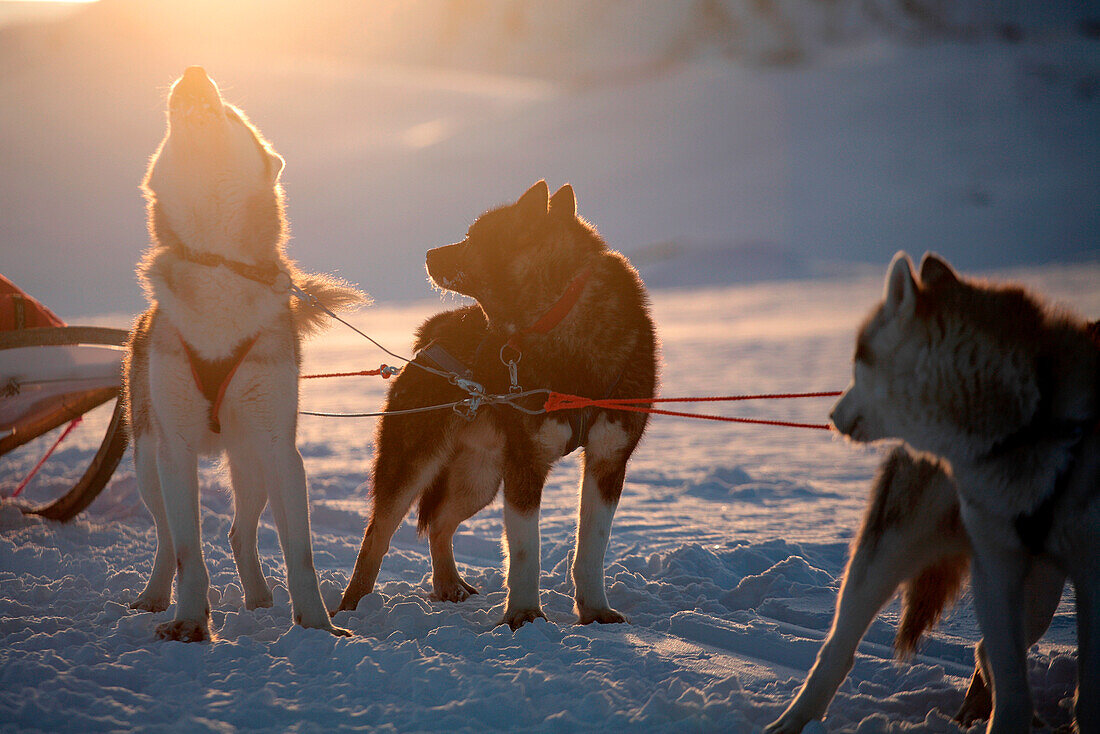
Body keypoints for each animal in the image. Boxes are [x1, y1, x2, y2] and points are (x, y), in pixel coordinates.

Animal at [124, 68, 365, 642]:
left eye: (234, 113)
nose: (193, 71)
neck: (216, 262)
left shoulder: (281, 450)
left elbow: (300, 554)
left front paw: (318, 627)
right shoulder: (175, 448)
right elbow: (188, 552)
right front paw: (190, 622)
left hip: (251, 460)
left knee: (240, 531)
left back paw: (257, 597)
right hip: (149, 462)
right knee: (165, 538)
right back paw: (155, 597)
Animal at [338, 180, 655, 629]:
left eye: (473, 238)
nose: (428, 254)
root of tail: (431, 335)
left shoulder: (608, 461)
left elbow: (592, 547)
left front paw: (595, 611)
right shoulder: (526, 463)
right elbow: (525, 550)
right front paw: (524, 615)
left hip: (481, 478)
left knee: (439, 525)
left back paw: (447, 585)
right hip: (417, 463)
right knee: (377, 535)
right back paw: (353, 606)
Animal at [827, 254, 1095, 734]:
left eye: (859, 359)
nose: (832, 414)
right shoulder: (997, 570)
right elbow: (1012, 690)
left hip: (1040, 590)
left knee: (987, 652)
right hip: (893, 551)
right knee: (836, 651)